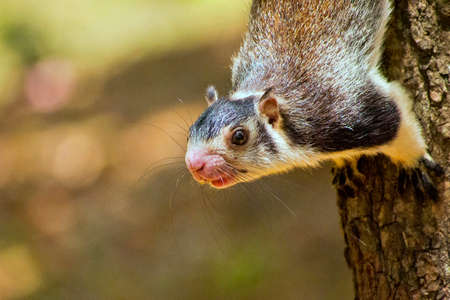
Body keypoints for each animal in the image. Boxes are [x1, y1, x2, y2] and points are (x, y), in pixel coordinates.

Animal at [185, 0, 428, 190]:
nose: (194, 165)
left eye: (239, 136)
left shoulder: (353, 110)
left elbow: (398, 119)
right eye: (189, 132)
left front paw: (415, 163)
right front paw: (345, 163)